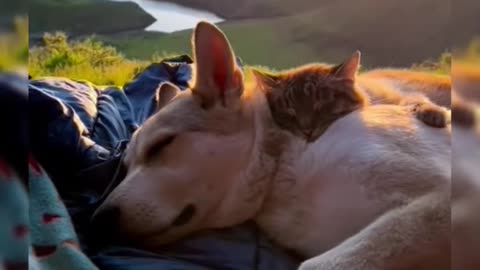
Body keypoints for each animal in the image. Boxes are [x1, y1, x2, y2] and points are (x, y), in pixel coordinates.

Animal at [251, 51, 450, 142]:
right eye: (289, 111)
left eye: (320, 105)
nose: (307, 131)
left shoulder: (401, 93)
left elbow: (415, 100)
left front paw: (435, 113)